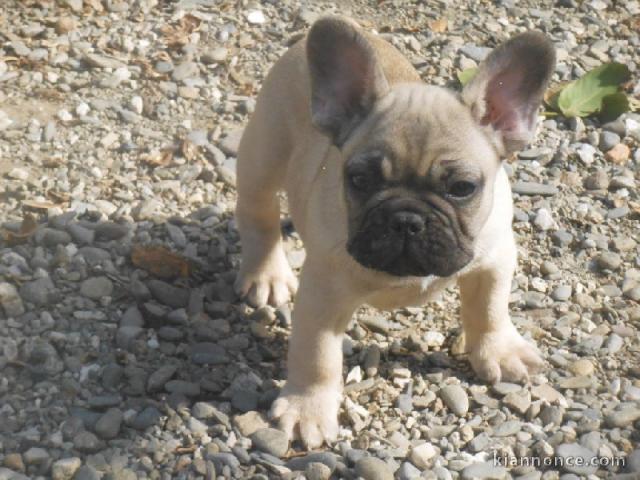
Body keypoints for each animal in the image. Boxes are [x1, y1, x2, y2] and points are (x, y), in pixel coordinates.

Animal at [234, 15, 556, 450]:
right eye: (359, 180)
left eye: (463, 188)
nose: (406, 219)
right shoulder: (322, 295)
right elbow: (316, 355)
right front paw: (308, 409)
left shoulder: (494, 259)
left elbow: (490, 309)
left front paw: (500, 352)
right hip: (263, 155)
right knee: (258, 211)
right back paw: (265, 274)